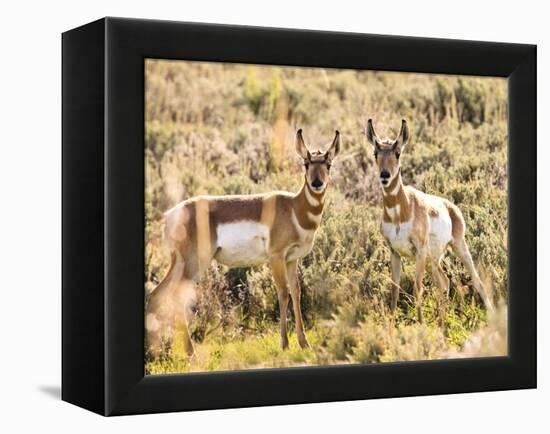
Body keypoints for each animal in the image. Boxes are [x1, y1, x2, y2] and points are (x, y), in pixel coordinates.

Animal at [147, 129, 340, 356]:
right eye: (306, 163)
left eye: (328, 163)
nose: (317, 183)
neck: (293, 207)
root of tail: (171, 215)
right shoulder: (276, 257)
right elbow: (283, 293)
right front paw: (285, 343)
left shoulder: (292, 259)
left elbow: (296, 292)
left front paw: (304, 343)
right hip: (194, 263)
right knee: (175, 296)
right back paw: (189, 353)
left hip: (180, 264)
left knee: (157, 294)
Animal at [368, 118, 494, 322]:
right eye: (375, 153)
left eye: (397, 153)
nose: (385, 175)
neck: (400, 212)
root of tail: (450, 207)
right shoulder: (394, 252)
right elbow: (394, 290)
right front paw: (393, 323)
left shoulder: (419, 250)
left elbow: (418, 288)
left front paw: (420, 324)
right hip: (432, 261)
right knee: (444, 283)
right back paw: (443, 323)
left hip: (457, 247)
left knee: (477, 281)